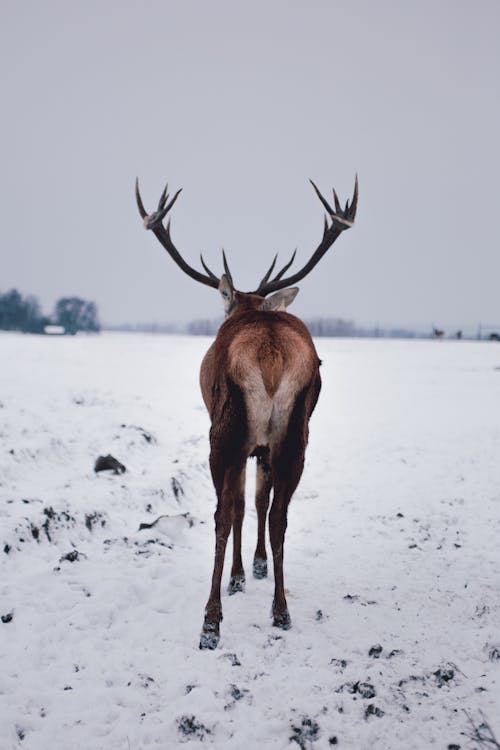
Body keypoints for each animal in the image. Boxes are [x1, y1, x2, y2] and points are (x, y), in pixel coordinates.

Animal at [135, 173, 358, 648]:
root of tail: (270, 350)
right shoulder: (265, 448)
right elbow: (258, 501)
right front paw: (256, 567)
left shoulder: (242, 442)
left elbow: (238, 504)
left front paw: (238, 577)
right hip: (296, 433)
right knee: (279, 516)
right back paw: (281, 610)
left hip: (227, 430)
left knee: (222, 514)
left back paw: (211, 621)